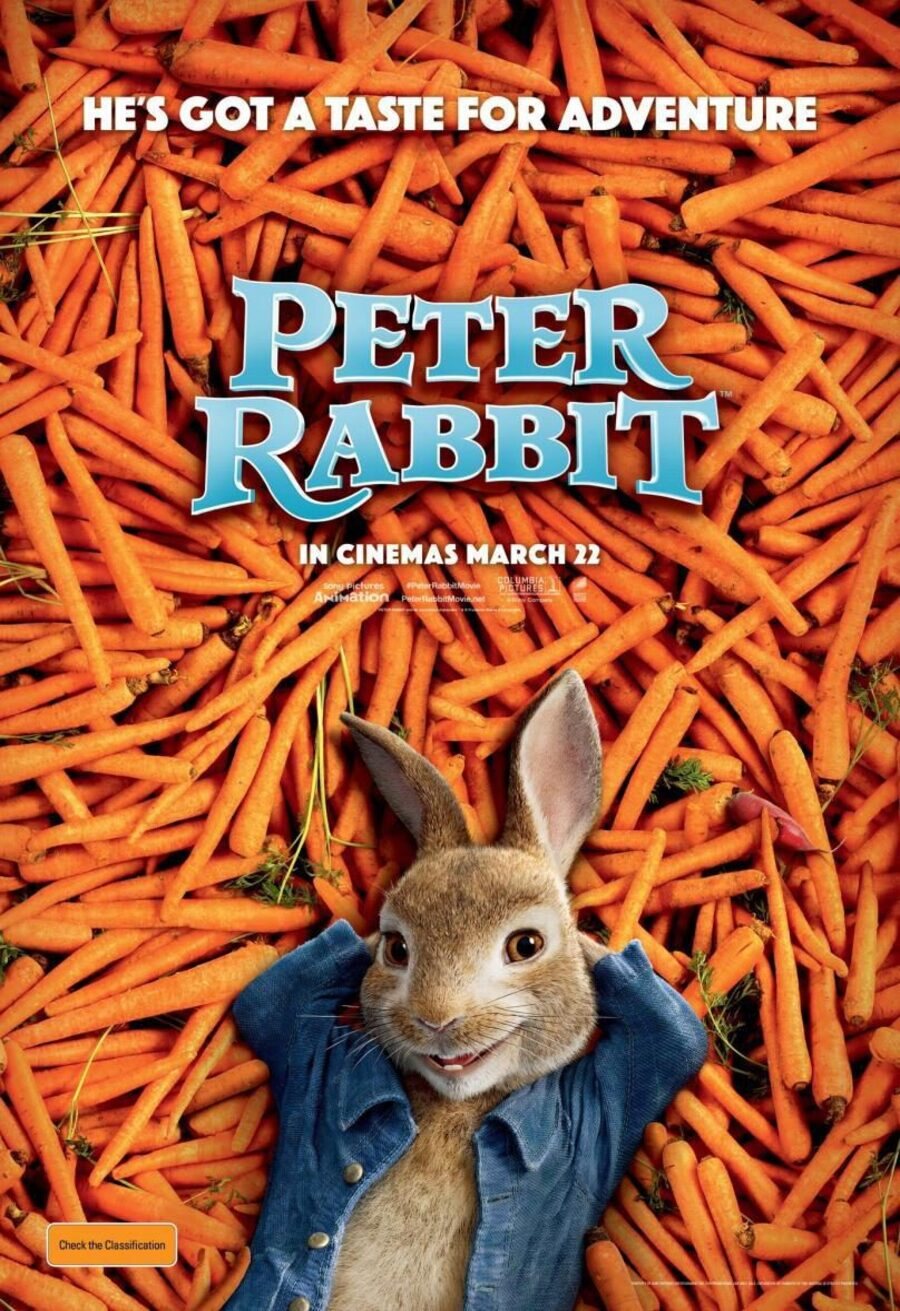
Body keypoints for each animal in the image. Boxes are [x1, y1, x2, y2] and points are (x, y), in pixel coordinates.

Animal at [228, 669, 707, 1311]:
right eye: (396, 949)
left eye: (526, 946)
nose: (437, 1019)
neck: (456, 1107)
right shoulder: (307, 1052)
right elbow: (269, 1000)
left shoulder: (617, 1092)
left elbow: (677, 1038)